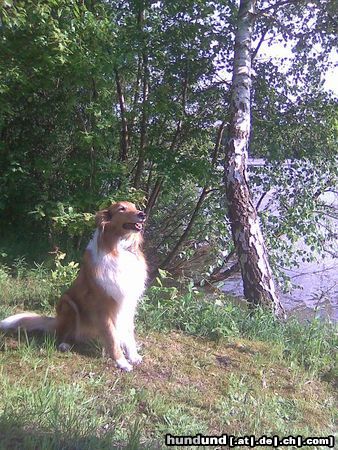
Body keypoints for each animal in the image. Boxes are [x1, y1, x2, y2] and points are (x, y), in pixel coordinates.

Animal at [0, 202, 147, 370]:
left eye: (134, 206)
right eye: (121, 208)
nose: (142, 214)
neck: (118, 247)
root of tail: (56, 321)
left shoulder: (128, 303)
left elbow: (128, 334)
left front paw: (133, 356)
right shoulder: (103, 307)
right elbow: (111, 337)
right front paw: (121, 362)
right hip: (67, 304)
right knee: (65, 335)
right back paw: (65, 344)